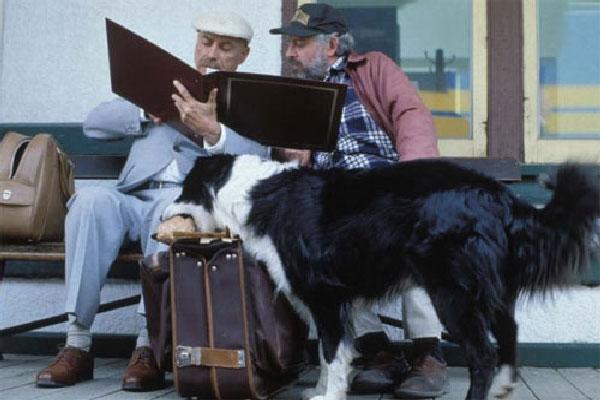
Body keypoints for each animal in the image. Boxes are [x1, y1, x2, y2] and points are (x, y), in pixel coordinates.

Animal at [163, 155, 600, 400]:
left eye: (183, 188)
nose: (163, 211)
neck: (253, 192)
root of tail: (499, 193)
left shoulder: (325, 296)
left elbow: (331, 352)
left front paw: (329, 395)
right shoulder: (328, 301)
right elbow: (332, 354)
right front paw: (322, 389)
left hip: (452, 293)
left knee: (482, 354)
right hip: (488, 288)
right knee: (509, 329)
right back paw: (503, 387)